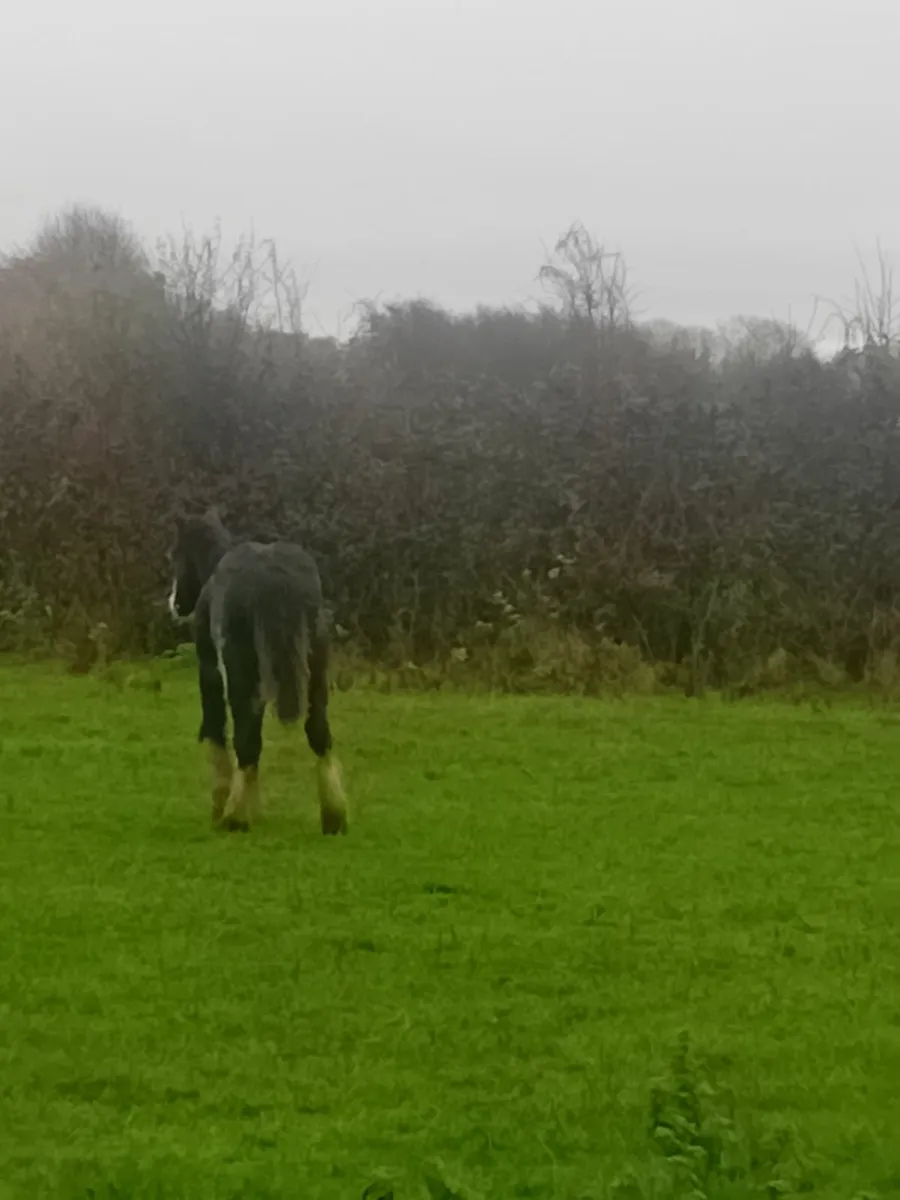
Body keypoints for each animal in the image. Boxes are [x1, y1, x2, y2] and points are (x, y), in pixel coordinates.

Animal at [167, 509, 348, 835]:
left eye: (174, 554)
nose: (175, 604)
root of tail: (274, 577)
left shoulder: (210, 671)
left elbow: (215, 728)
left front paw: (222, 802)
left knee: (246, 736)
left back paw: (234, 817)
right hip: (315, 672)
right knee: (318, 733)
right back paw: (334, 816)